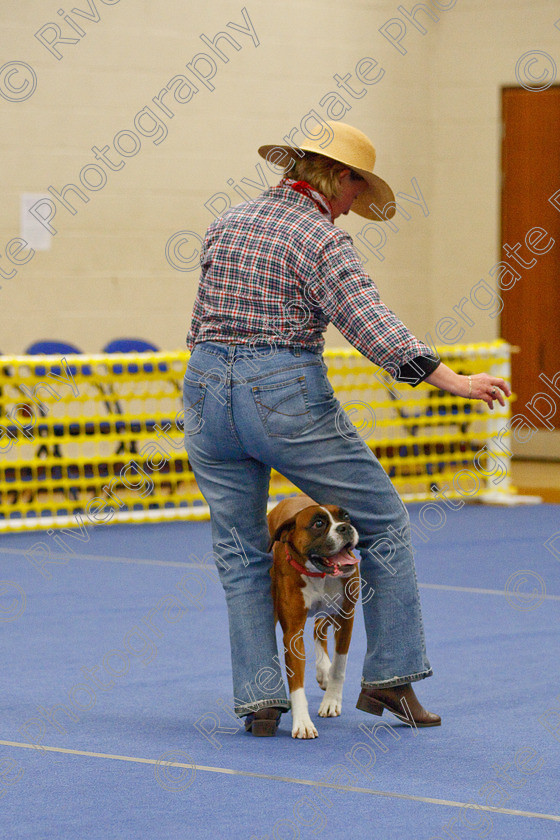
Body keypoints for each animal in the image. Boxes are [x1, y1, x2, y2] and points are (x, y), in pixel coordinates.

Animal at [270, 496, 360, 740]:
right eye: (318, 524)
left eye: (345, 516)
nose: (345, 528)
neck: (318, 574)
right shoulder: (293, 633)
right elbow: (296, 683)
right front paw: (302, 722)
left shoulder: (346, 617)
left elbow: (339, 665)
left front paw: (331, 701)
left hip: (332, 611)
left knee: (319, 626)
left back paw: (323, 672)